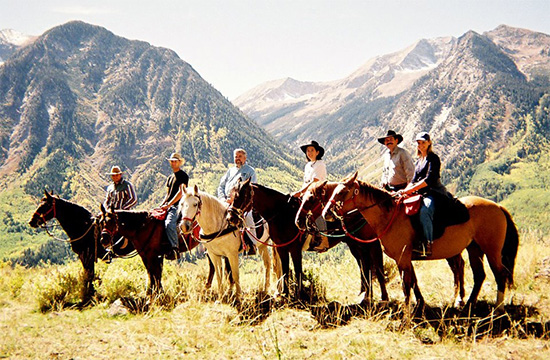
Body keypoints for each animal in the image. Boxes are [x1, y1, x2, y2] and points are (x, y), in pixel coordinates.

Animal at [298, 181, 470, 308]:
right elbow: (365, 270)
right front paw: (365, 295)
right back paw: (457, 296)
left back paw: (459, 298)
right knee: (458, 265)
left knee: (458, 266)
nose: (299, 221)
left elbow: (378, 272)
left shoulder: (373, 246)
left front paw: (382, 298)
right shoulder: (358, 246)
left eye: (311, 199)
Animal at [326, 172, 520, 312]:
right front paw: (419, 304)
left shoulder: (403, 258)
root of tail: (498, 207)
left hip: (491, 250)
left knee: (499, 275)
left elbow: (406, 285)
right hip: (474, 249)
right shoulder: (404, 259)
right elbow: (412, 282)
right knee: (479, 275)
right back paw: (469, 304)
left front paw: (407, 311)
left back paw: (498, 308)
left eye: (341, 192)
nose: (327, 212)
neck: (390, 216)